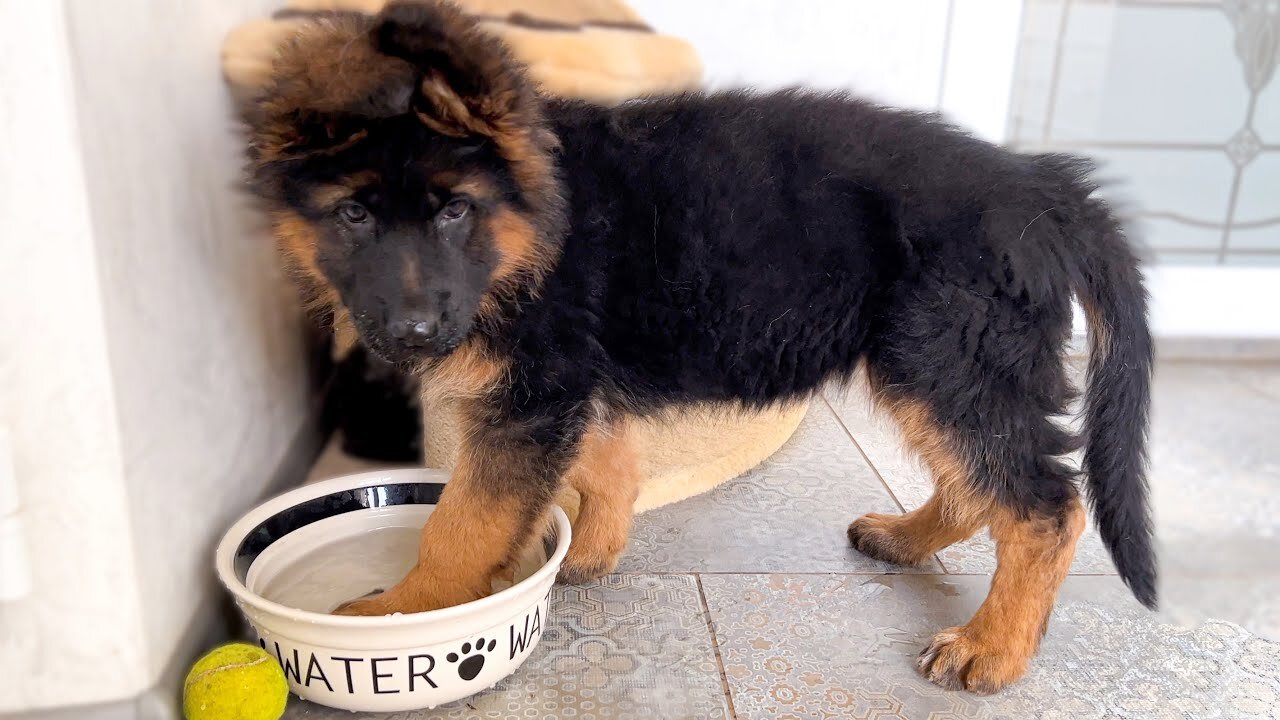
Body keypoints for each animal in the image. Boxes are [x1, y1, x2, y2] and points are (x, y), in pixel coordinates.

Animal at [240, 1, 1152, 696]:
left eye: (454, 211)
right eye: (354, 215)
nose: (414, 335)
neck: (533, 221)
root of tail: (1040, 186)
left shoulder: (532, 396)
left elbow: (462, 521)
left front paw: (407, 612)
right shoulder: (571, 385)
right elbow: (607, 463)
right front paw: (591, 550)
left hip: (947, 360)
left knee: (1042, 505)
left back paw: (992, 646)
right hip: (932, 368)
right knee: (980, 485)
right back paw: (908, 541)